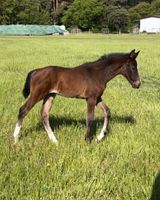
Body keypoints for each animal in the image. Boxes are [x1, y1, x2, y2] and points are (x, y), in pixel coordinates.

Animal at [13, 50, 141, 144]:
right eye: (133, 67)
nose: (138, 84)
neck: (98, 74)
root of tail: (36, 71)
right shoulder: (91, 98)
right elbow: (90, 118)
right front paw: (87, 139)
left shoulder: (97, 98)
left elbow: (107, 112)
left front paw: (99, 137)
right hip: (37, 94)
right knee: (23, 110)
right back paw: (15, 138)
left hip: (50, 95)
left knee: (44, 114)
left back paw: (54, 140)